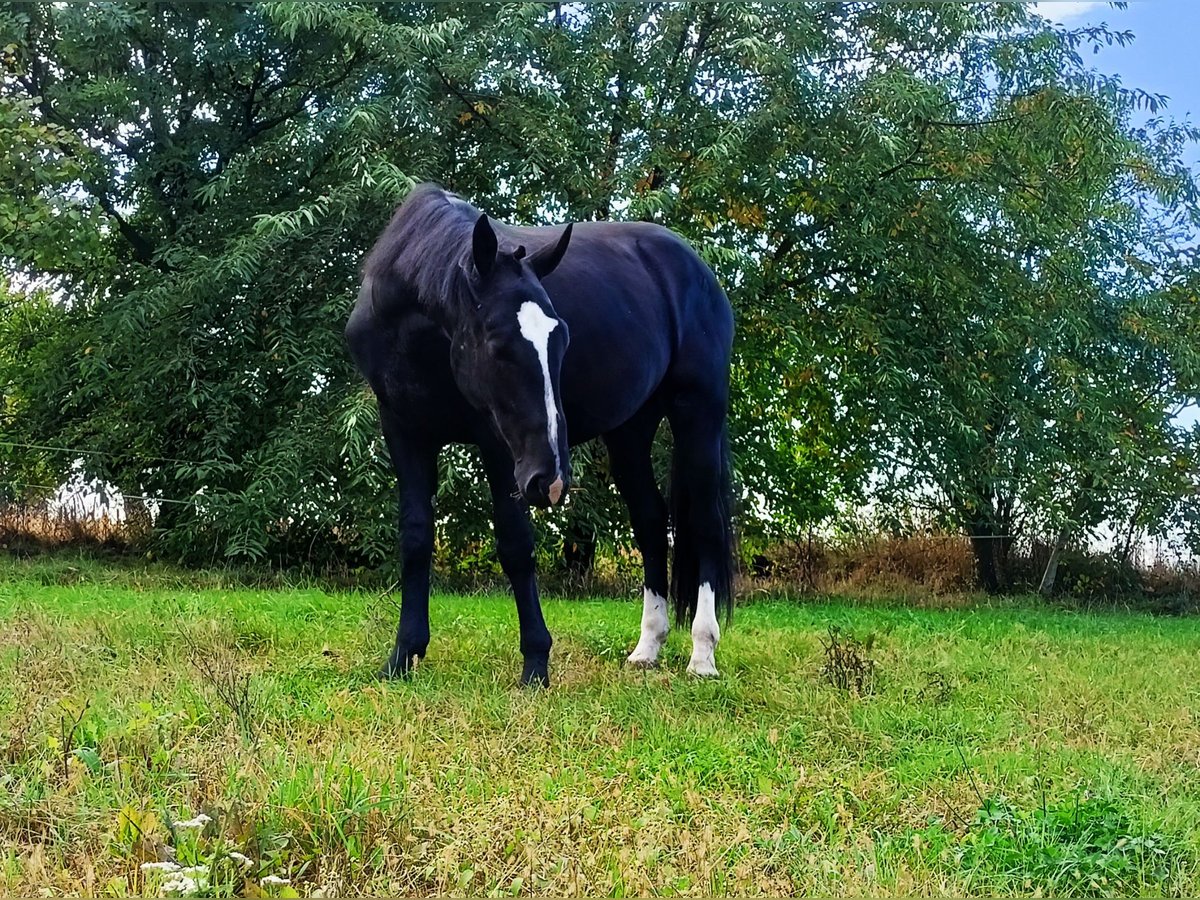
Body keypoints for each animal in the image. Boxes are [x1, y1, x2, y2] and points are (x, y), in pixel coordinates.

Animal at [340, 187, 729, 686]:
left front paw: (535, 663)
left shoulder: (498, 444)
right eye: (497, 343)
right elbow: (415, 537)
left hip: (697, 413)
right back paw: (648, 648)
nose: (554, 481)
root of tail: (695, 266)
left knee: (706, 522)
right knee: (649, 521)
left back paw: (702, 655)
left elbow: (515, 544)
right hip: (629, 431)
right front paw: (403, 655)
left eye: (561, 337)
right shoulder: (404, 432)